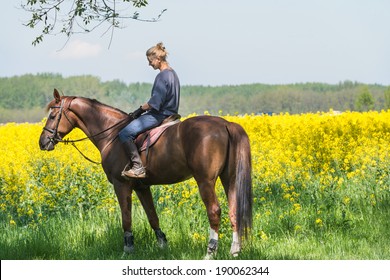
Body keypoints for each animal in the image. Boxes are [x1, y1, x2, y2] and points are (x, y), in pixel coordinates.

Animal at [38, 89, 253, 258]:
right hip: (229, 178)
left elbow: (126, 218)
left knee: (214, 211)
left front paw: (128, 249)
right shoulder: (142, 187)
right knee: (234, 210)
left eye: (52, 116)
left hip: (206, 181)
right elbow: (152, 216)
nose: (43, 142)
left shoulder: (121, 185)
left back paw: (210, 251)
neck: (112, 134)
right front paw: (162, 245)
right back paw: (235, 250)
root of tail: (225, 124)